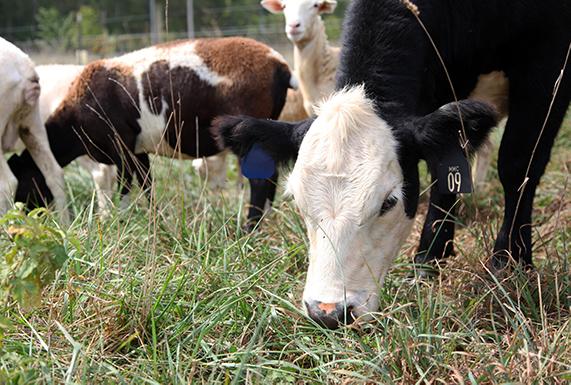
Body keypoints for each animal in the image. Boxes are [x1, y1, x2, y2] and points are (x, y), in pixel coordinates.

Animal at [10, 36, 294, 226]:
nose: (23, 213)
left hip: (247, 132)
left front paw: (121, 219)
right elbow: (147, 185)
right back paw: (265, 220)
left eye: (27, 178)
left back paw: (250, 228)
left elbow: (125, 186)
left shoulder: (121, 148)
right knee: (270, 178)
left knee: (260, 181)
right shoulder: (138, 151)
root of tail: (280, 65)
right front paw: (154, 220)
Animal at [214, 0, 571, 328]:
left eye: (388, 202)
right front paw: (430, 258)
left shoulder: (549, 67)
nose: (328, 312)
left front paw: (510, 262)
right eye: (298, 203)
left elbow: (518, 163)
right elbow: (445, 170)